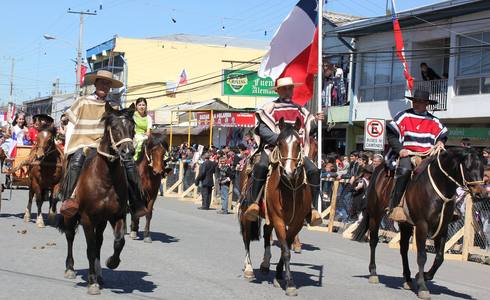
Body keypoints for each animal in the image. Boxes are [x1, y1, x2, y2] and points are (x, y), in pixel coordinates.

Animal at [58, 103, 138, 296]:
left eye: (132, 128)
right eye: (115, 128)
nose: (128, 152)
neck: (106, 179)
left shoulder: (117, 216)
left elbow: (119, 242)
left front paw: (112, 263)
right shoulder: (87, 218)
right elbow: (90, 248)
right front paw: (92, 282)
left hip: (101, 221)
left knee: (99, 242)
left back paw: (100, 272)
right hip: (70, 215)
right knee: (70, 236)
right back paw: (70, 268)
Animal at [239, 118, 312, 298]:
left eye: (299, 144)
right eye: (279, 143)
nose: (288, 172)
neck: (291, 188)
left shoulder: (296, 222)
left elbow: (287, 245)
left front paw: (279, 274)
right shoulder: (279, 220)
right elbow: (285, 250)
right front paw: (290, 284)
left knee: (266, 232)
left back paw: (265, 264)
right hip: (245, 213)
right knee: (246, 238)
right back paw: (249, 268)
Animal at [352, 146, 486, 298]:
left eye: (483, 168)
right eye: (468, 168)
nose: (481, 194)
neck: (438, 187)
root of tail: (379, 169)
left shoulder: (442, 227)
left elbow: (439, 257)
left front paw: (424, 276)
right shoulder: (422, 225)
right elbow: (422, 256)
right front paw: (422, 286)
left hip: (405, 224)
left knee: (403, 248)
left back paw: (408, 279)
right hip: (375, 215)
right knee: (373, 241)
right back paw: (374, 273)